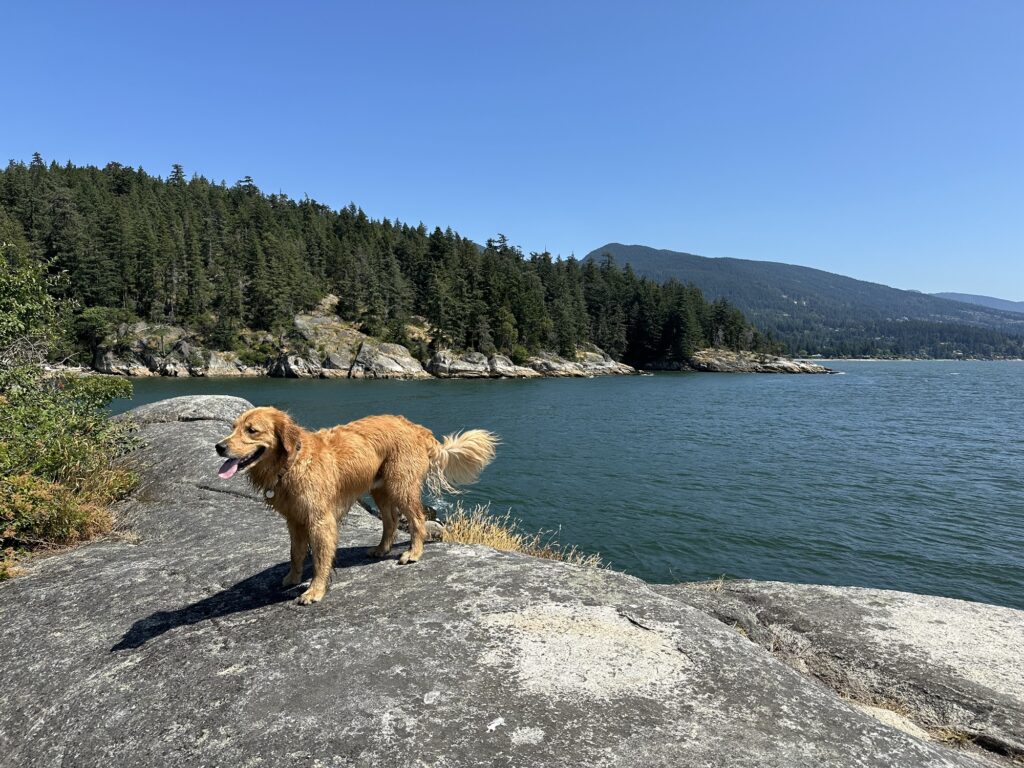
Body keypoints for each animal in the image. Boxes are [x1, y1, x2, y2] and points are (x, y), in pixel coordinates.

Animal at [215, 409, 495, 606]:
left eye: (252, 430)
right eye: (233, 427)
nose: (219, 447)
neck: (292, 462)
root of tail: (415, 428)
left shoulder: (320, 521)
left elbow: (320, 559)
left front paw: (314, 590)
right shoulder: (294, 520)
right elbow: (295, 553)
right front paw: (292, 579)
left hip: (400, 487)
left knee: (416, 520)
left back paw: (413, 553)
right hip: (380, 489)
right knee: (391, 522)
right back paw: (381, 549)